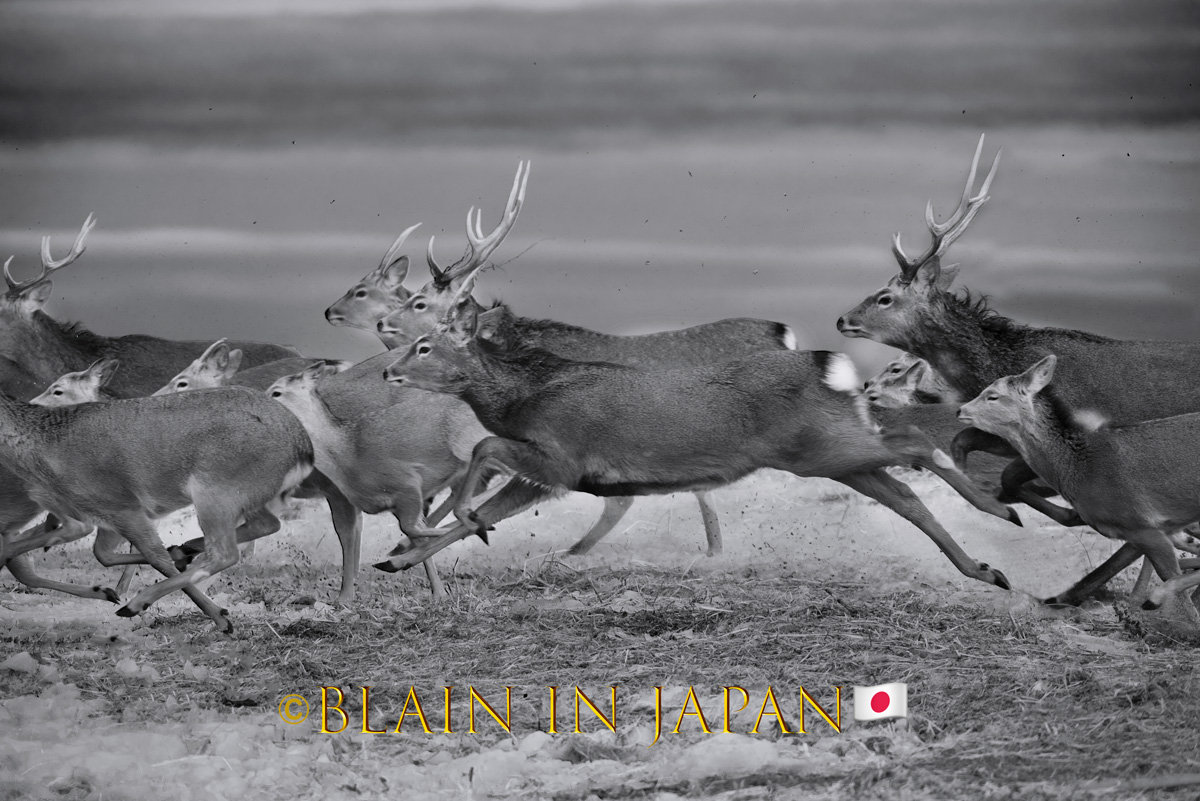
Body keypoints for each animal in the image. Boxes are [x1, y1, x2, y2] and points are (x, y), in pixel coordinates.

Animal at [0, 388, 313, 632]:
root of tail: (303, 450)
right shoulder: (108, 516)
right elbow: (105, 554)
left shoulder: (119, 506)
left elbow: (154, 557)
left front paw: (220, 616)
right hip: (248, 496)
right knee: (267, 524)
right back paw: (186, 548)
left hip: (216, 492)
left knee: (225, 552)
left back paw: (137, 603)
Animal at [958, 355, 1200, 625]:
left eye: (993, 396)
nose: (960, 411)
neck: (1082, 470)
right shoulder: (1150, 529)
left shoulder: (1140, 524)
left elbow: (1178, 591)